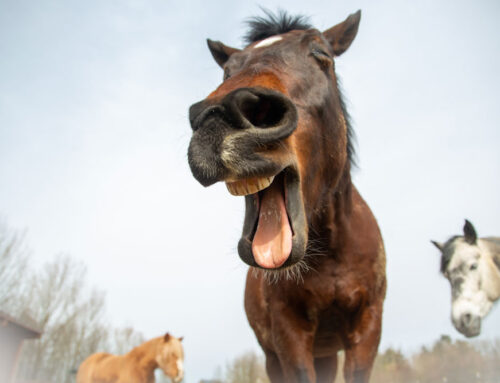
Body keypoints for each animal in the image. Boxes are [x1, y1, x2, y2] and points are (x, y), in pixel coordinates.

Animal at [188, 9, 386, 383]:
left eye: (321, 53)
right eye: (227, 69)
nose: (221, 115)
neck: (329, 253)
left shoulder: (367, 327)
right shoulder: (288, 335)